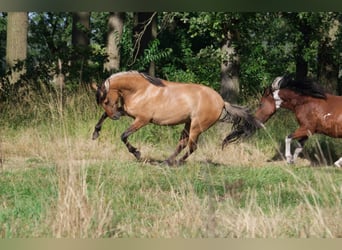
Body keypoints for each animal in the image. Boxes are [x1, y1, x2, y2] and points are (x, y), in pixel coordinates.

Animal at [91, 70, 260, 165]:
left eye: (106, 100)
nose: (115, 117)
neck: (140, 90)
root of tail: (221, 102)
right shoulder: (128, 112)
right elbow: (103, 116)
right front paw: (95, 133)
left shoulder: (142, 120)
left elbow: (124, 135)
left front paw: (137, 153)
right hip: (188, 124)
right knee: (182, 144)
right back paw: (166, 161)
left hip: (196, 127)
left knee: (192, 146)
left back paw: (177, 162)